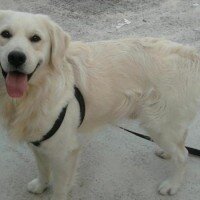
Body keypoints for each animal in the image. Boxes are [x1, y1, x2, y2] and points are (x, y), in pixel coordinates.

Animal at [0, 9, 200, 200]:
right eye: (5, 34)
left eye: (35, 38)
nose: (16, 57)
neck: (36, 92)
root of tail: (191, 54)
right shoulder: (38, 142)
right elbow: (42, 168)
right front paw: (40, 185)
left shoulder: (64, 153)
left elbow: (59, 190)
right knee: (181, 142)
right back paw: (167, 153)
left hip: (158, 125)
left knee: (183, 155)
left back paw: (172, 185)